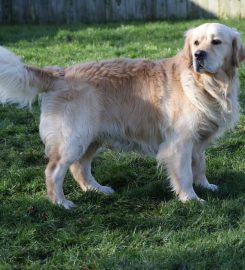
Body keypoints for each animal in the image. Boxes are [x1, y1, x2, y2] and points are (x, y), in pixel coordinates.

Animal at [0, 23, 244, 209]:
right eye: (196, 43)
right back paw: (61, 202)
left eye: (216, 42)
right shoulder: (180, 142)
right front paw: (191, 199)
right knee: (54, 171)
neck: (207, 84)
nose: (198, 55)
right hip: (73, 139)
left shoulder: (198, 141)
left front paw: (205, 185)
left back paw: (97, 189)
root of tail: (58, 73)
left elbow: (199, 165)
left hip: (91, 138)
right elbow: (184, 174)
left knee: (80, 168)